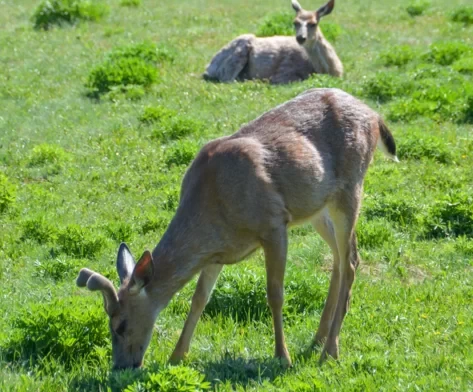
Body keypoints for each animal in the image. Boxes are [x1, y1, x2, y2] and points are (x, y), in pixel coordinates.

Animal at [75, 87, 396, 370]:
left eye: (120, 325)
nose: (121, 366)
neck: (215, 200)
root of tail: (374, 115)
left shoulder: (274, 223)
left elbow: (275, 293)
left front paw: (282, 357)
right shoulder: (216, 252)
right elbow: (198, 299)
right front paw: (176, 357)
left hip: (350, 188)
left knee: (351, 261)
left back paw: (329, 351)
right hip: (318, 207)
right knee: (341, 258)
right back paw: (319, 338)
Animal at [201, 0, 342, 83]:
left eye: (313, 24)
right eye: (295, 22)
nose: (300, 38)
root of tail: (209, 66)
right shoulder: (284, 73)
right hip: (237, 54)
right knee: (227, 79)